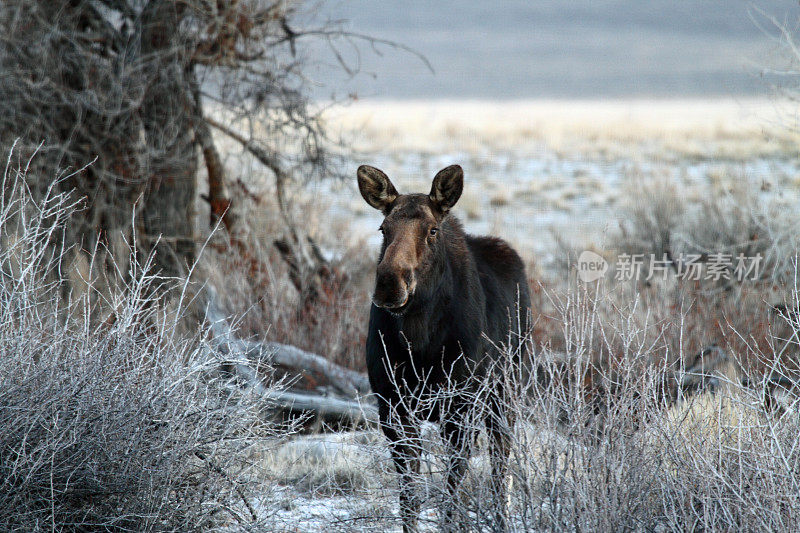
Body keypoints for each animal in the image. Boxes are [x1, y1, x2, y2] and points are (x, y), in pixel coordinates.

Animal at [358, 164, 532, 528]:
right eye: (383, 228)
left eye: (433, 230)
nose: (389, 283)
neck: (420, 340)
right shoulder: (393, 408)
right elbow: (410, 498)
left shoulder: (460, 410)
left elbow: (451, 497)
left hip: (506, 391)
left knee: (501, 470)